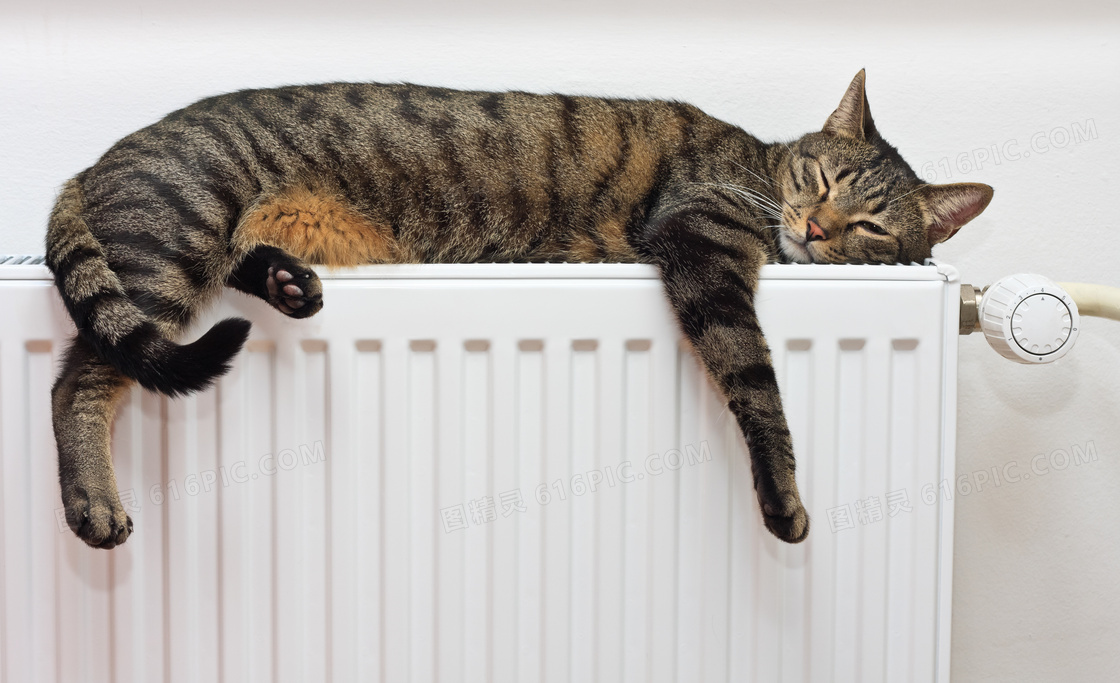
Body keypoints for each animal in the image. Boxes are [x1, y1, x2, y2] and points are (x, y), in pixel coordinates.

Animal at [45, 70, 990, 548]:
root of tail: (91, 165)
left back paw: (285, 281)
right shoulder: (703, 250)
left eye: (871, 225)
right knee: (77, 380)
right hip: (170, 248)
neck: (760, 171)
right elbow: (758, 386)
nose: (815, 226)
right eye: (821, 177)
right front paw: (784, 499)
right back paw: (93, 504)